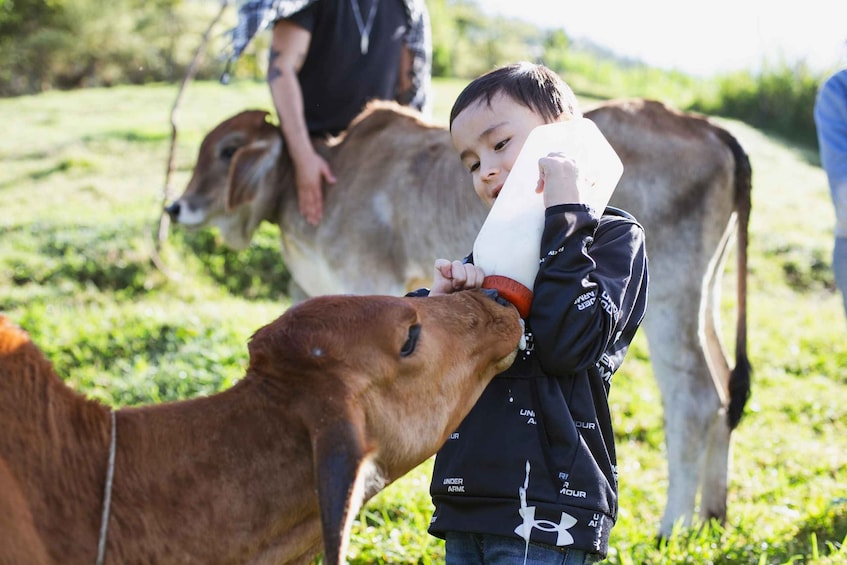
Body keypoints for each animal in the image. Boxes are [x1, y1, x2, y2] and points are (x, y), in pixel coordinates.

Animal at [167, 98, 756, 536]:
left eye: (227, 150)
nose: (175, 207)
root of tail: (712, 129)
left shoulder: (371, 281)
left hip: (673, 299)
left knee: (695, 398)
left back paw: (672, 524)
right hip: (704, 294)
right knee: (725, 385)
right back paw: (711, 516)